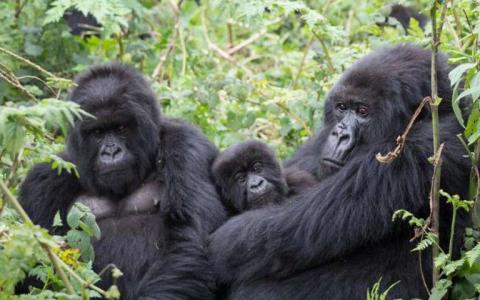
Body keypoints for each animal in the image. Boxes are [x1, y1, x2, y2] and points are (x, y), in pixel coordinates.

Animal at [18, 62, 227, 298]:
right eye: (97, 132)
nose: (111, 152)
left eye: (121, 128)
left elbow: (190, 235)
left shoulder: (186, 146)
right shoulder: (43, 180)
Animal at [209, 44, 468, 300]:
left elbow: (291, 230)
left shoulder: (425, 147)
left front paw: (219, 245)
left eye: (362, 111)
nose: (340, 134)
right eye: (341, 108)